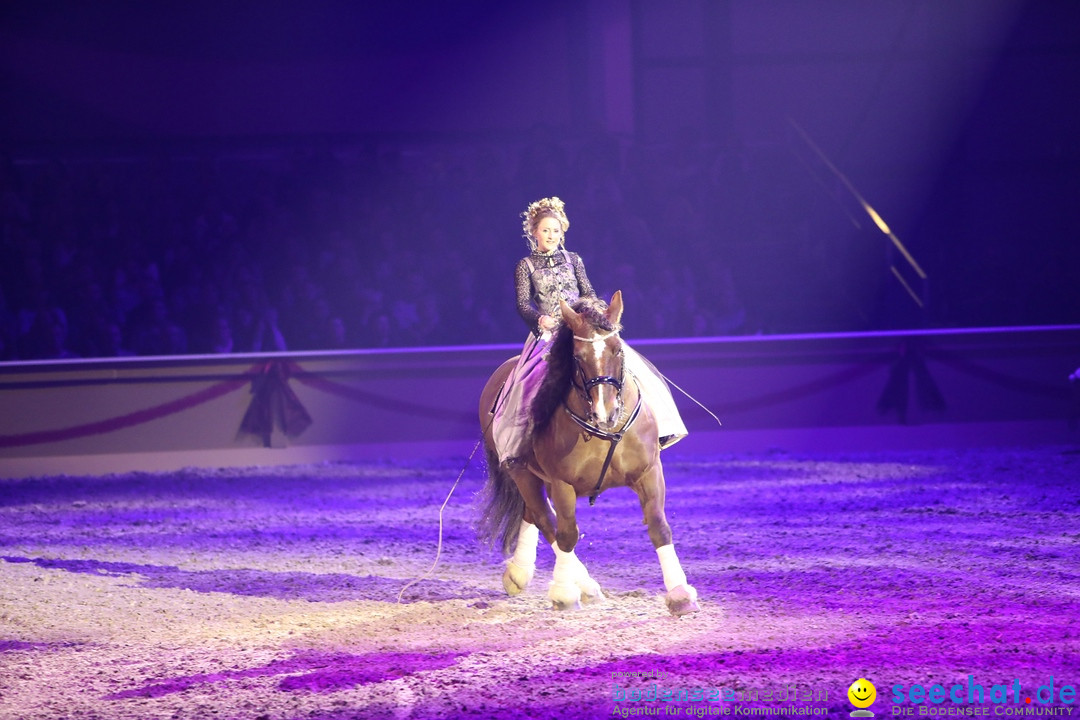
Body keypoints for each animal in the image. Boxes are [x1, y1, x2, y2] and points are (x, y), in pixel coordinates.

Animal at [479, 289, 699, 617]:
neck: (605, 432)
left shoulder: (649, 472)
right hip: (521, 473)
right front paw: (564, 593)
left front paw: (680, 594)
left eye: (618, 350)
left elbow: (659, 526)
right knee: (546, 520)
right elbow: (567, 533)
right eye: (577, 357)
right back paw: (580, 585)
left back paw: (521, 574)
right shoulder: (562, 484)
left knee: (533, 514)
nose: (605, 413)